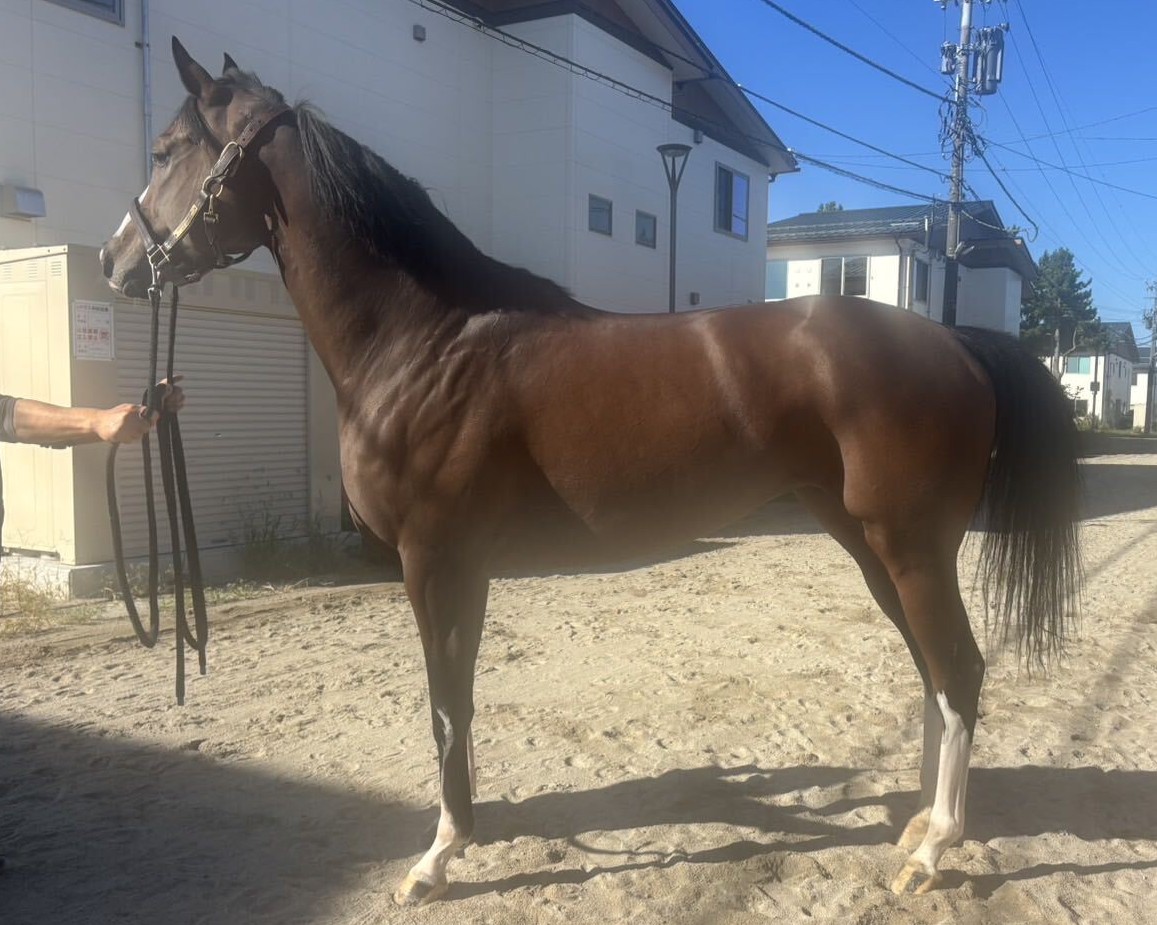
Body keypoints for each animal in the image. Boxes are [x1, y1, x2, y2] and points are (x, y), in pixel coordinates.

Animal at [100, 38, 1082, 906]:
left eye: (166, 150)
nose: (116, 262)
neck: (426, 341)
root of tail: (955, 340)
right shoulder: (463, 568)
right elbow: (458, 698)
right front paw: (467, 831)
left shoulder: (431, 560)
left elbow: (442, 704)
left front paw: (437, 858)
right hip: (871, 545)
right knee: (933, 674)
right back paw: (917, 824)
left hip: (909, 548)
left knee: (959, 671)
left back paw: (933, 850)